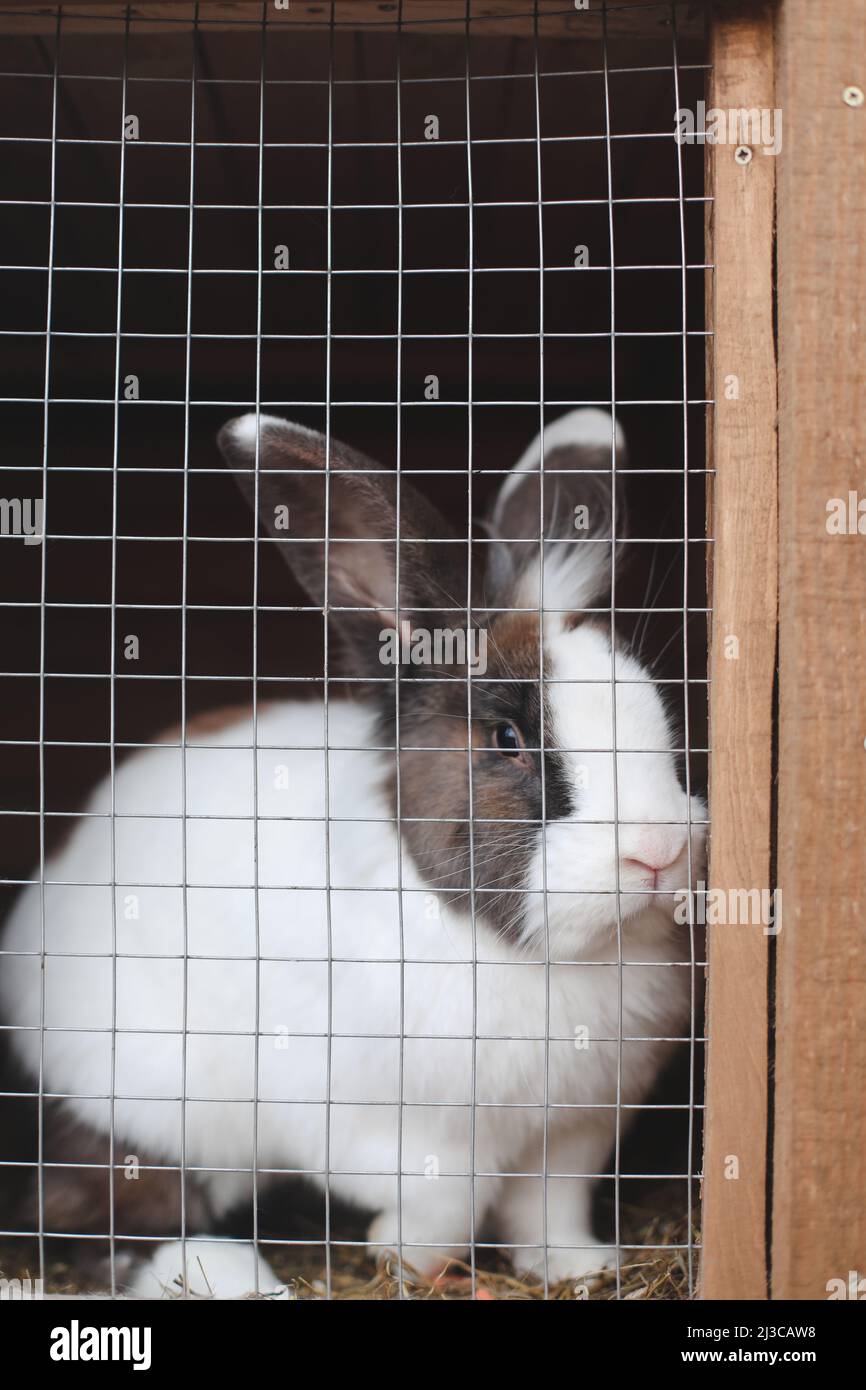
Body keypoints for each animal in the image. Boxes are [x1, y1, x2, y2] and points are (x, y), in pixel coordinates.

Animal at [0, 406, 705, 1297]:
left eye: (657, 712)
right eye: (507, 738)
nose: (658, 851)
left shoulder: (570, 1136)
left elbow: (550, 1208)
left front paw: (577, 1266)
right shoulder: (380, 1129)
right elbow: (447, 1201)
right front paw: (405, 1259)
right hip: (141, 1104)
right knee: (106, 1215)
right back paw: (228, 1273)